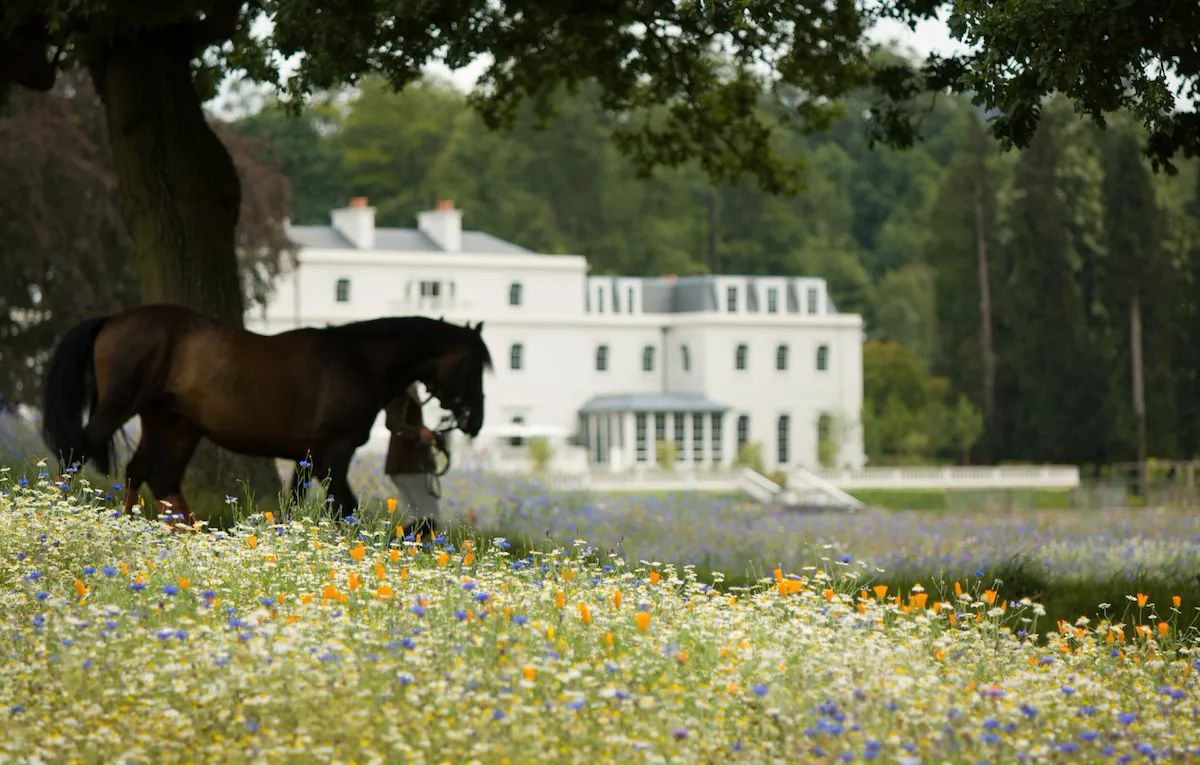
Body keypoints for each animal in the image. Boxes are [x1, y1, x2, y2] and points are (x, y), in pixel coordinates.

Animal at [40, 303, 492, 528]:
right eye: (472, 364)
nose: (475, 422)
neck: (358, 361)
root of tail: (113, 320)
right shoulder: (333, 451)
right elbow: (344, 507)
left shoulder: (308, 458)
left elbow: (298, 504)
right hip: (121, 409)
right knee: (77, 454)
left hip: (173, 424)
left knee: (151, 475)